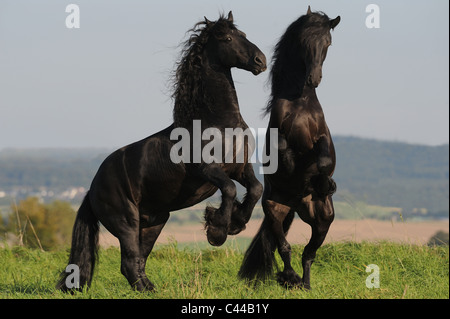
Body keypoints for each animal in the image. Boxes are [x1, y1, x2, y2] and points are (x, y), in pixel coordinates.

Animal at [57, 11, 266, 292]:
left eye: (243, 34)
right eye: (228, 38)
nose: (261, 61)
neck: (218, 122)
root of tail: (92, 189)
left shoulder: (241, 168)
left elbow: (255, 190)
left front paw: (236, 223)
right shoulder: (208, 169)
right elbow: (230, 189)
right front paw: (217, 231)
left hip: (155, 221)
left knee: (138, 261)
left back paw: (150, 288)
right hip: (126, 221)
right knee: (130, 260)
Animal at [239, 7, 338, 292]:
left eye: (328, 43)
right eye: (304, 42)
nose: (314, 79)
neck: (301, 102)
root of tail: (296, 205)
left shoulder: (322, 137)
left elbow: (324, 160)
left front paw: (323, 182)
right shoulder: (278, 135)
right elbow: (284, 150)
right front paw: (295, 169)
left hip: (323, 220)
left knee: (309, 253)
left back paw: (305, 284)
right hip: (274, 210)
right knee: (285, 248)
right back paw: (289, 278)